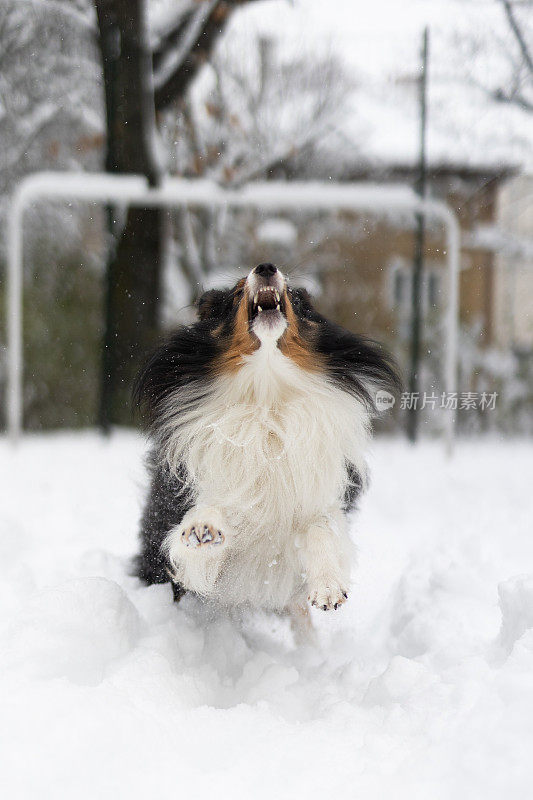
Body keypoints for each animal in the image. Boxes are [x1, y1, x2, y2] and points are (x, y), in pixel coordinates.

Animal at [133, 262, 400, 620]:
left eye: (294, 298)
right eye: (235, 294)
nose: (266, 267)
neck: (266, 394)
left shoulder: (321, 499)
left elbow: (322, 529)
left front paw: (328, 587)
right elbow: (202, 527)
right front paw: (203, 528)